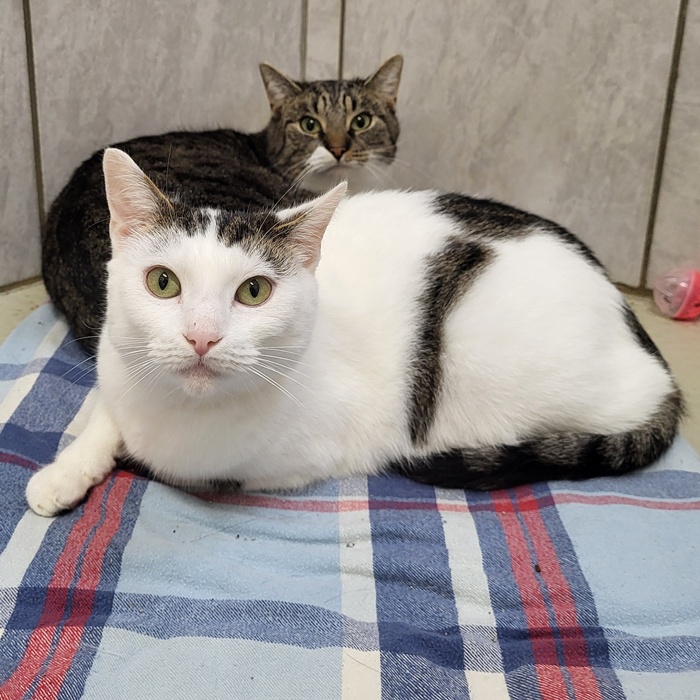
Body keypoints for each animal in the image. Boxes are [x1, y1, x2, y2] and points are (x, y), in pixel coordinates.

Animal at [25, 147, 683, 517]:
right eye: (163, 283)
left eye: (254, 291)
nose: (202, 338)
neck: (178, 411)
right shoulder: (115, 362)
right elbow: (103, 414)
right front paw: (63, 473)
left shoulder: (290, 459)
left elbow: (166, 461)